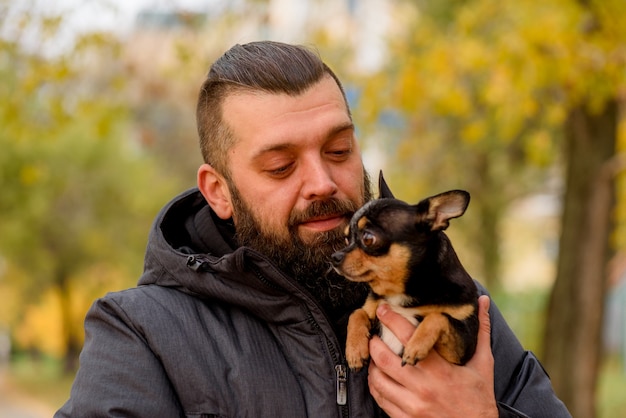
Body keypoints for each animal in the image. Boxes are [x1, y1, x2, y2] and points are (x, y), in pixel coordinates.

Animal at [332, 185, 478, 370]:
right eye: (346, 239)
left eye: (368, 238)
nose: (334, 257)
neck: (399, 293)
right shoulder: (372, 309)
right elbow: (357, 313)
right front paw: (354, 350)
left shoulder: (464, 346)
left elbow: (438, 317)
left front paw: (415, 346)